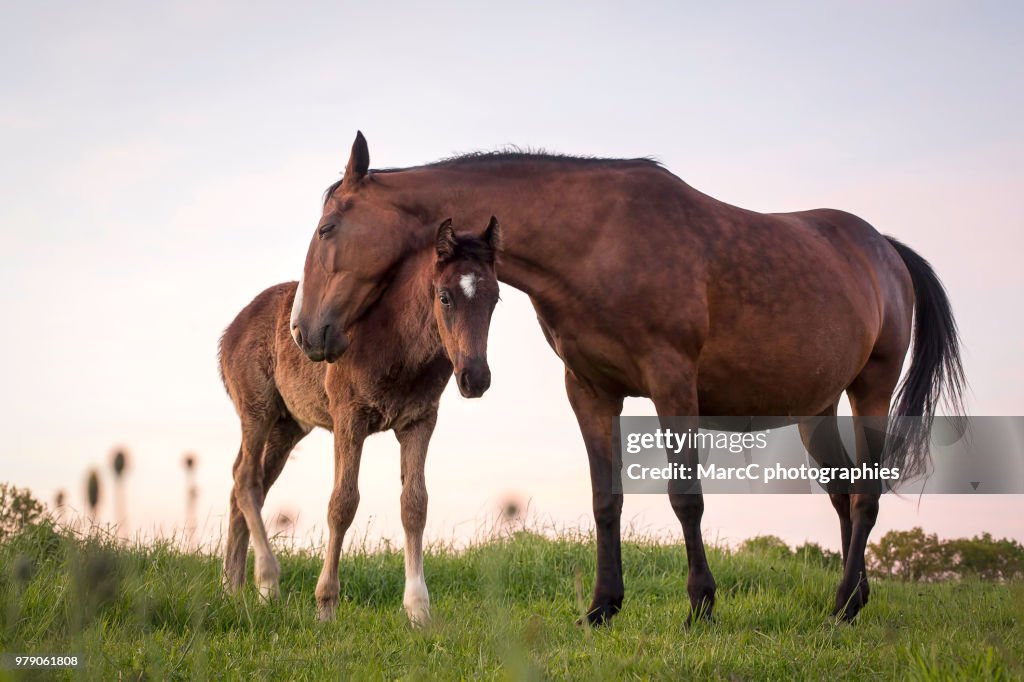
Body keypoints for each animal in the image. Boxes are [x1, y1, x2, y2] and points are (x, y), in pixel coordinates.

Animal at [219, 216, 502, 623]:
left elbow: (415, 504)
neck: (396, 340)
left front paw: (418, 610)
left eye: (495, 299)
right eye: (445, 296)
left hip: (288, 427)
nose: (476, 378)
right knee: (246, 480)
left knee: (245, 484)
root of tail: (230, 331)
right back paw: (267, 582)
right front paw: (325, 605)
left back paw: (233, 588)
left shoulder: (419, 421)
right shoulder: (348, 417)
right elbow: (342, 503)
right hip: (258, 410)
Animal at [290, 132, 965, 625]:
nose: (304, 330)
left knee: (868, 495)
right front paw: (602, 607)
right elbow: (605, 499)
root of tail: (885, 250)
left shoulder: (673, 385)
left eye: (327, 229)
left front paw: (700, 606)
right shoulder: (590, 391)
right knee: (844, 494)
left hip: (871, 388)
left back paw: (841, 607)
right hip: (816, 408)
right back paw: (856, 598)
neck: (598, 240)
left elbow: (686, 498)